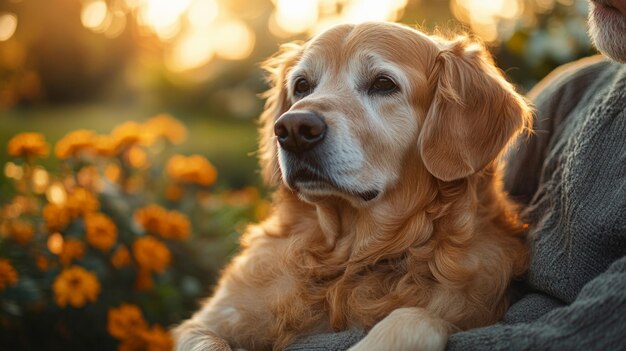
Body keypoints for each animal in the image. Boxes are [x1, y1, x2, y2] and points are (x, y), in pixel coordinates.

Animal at [173, 22, 528, 351]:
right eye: (302, 85)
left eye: (383, 83)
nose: (293, 129)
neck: (346, 261)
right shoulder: (203, 322)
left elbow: (415, 317)